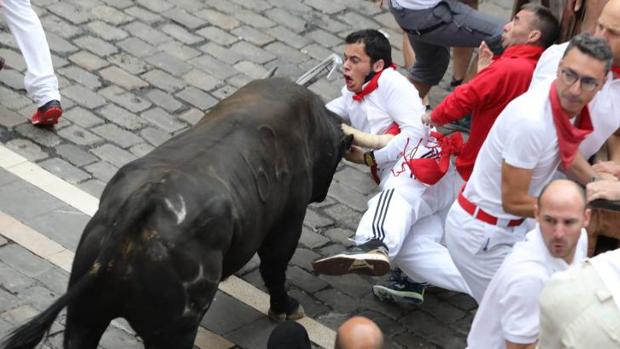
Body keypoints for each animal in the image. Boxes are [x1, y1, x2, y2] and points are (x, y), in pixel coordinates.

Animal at [1, 78, 354, 348]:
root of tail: (145, 204)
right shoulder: (289, 218)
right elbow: (275, 266)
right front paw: (287, 308)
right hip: (175, 329)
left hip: (83, 313)